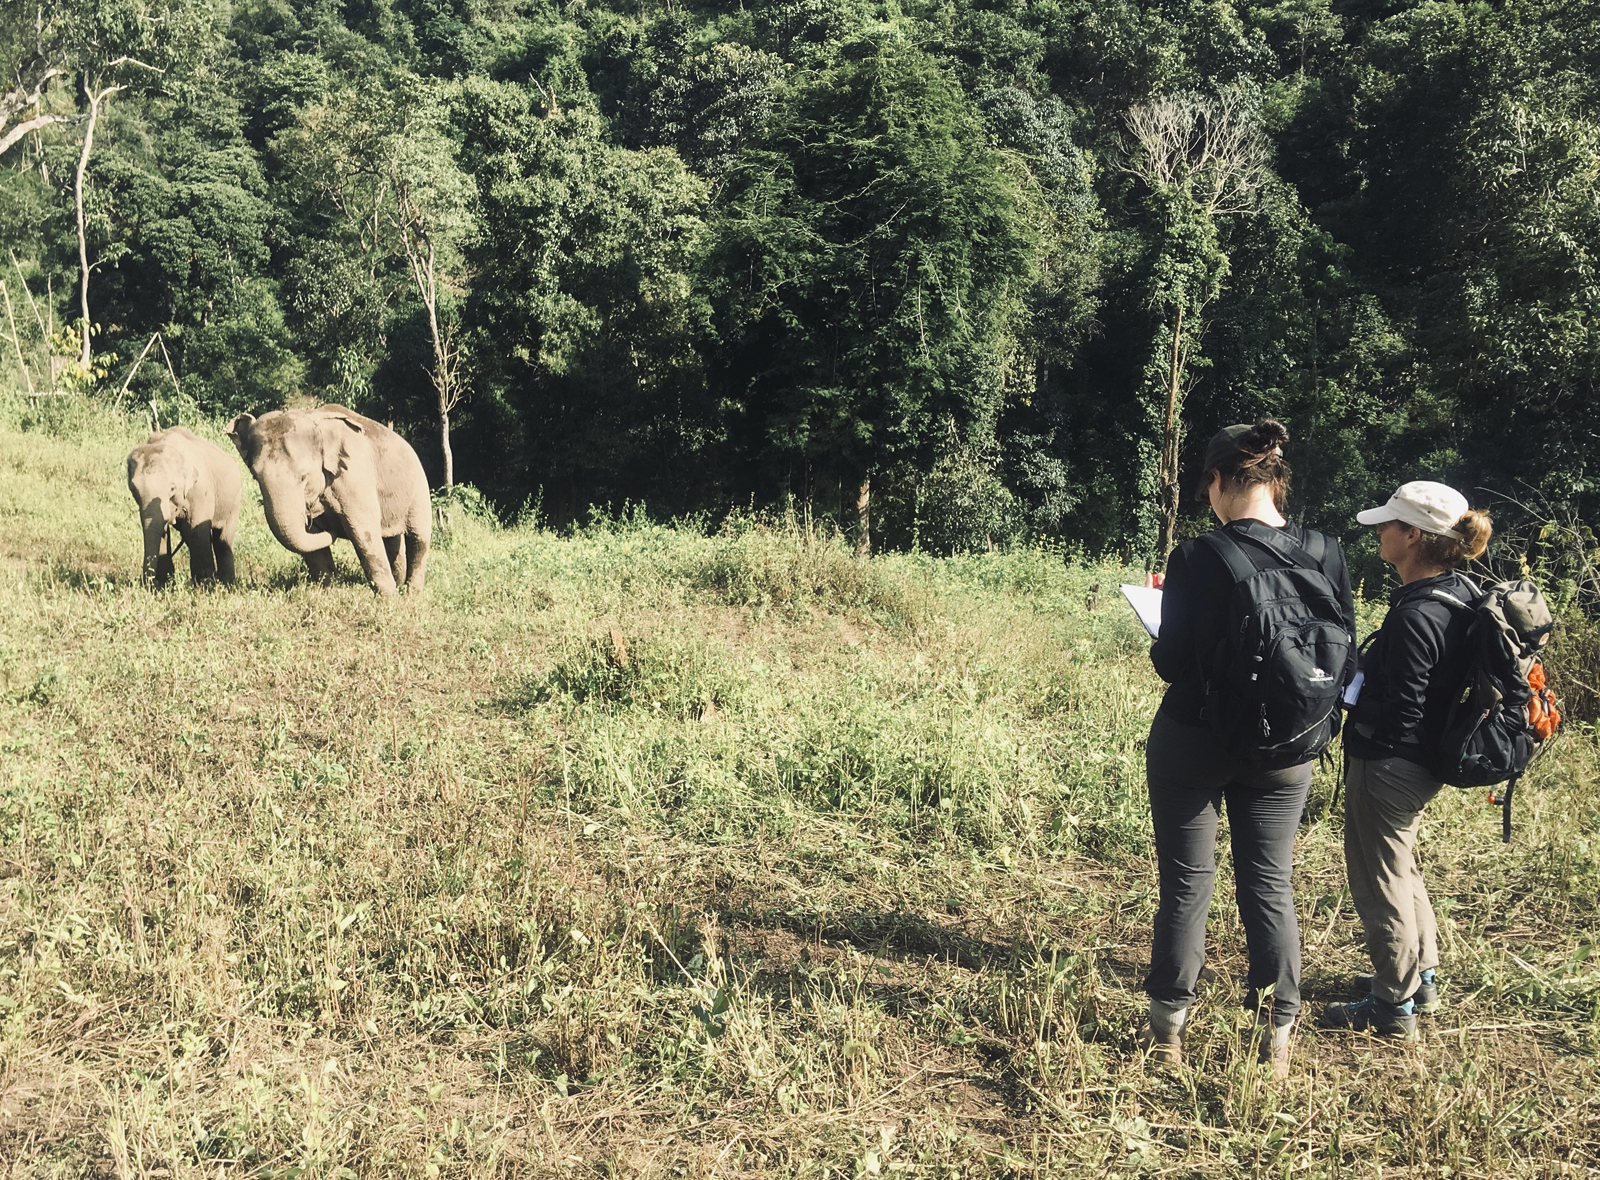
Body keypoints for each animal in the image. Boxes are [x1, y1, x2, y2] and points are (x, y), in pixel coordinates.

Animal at [126, 425, 243, 585]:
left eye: (172, 488)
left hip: (234, 502)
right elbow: (159, 528)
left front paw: (203, 583)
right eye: (133, 488)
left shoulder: (201, 490)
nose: (148, 583)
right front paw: (164, 583)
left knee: (222, 540)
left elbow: (195, 531)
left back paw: (226, 582)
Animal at [222, 404, 432, 591]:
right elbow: (315, 549)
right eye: (255, 476)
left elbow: (364, 534)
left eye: (304, 476)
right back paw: (400, 584)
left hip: (420, 487)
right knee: (391, 540)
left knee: (418, 539)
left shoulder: (355, 478)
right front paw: (327, 592)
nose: (333, 530)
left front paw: (388, 600)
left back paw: (411, 594)